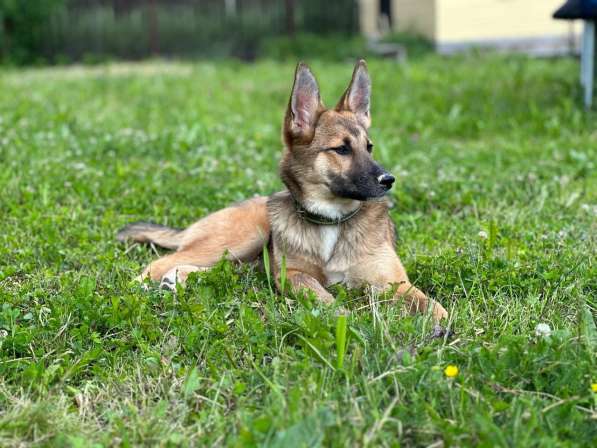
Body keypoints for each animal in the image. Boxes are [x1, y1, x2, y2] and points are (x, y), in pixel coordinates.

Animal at [117, 61, 448, 320]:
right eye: (341, 149)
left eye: (369, 147)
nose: (388, 180)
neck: (332, 221)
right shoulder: (293, 275)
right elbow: (324, 297)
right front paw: (343, 316)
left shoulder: (395, 282)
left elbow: (431, 305)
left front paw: (440, 329)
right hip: (243, 237)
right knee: (161, 263)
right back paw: (135, 290)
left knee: (222, 271)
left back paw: (177, 280)